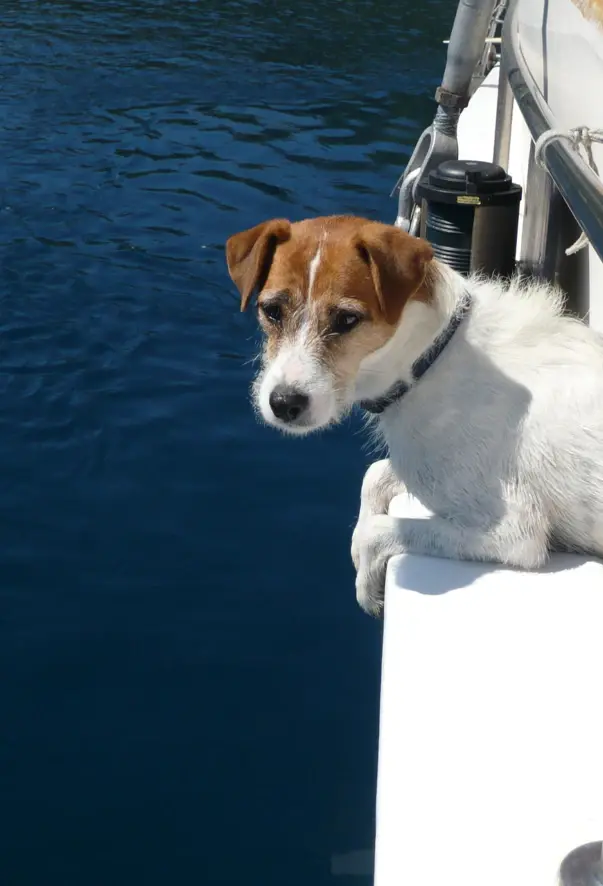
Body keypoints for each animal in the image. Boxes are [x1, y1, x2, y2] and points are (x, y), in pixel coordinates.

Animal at [224, 215, 603, 616]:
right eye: (272, 311)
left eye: (347, 319)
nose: (283, 403)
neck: (431, 358)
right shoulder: (420, 465)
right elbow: (374, 474)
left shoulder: (515, 531)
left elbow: (377, 531)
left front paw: (367, 587)